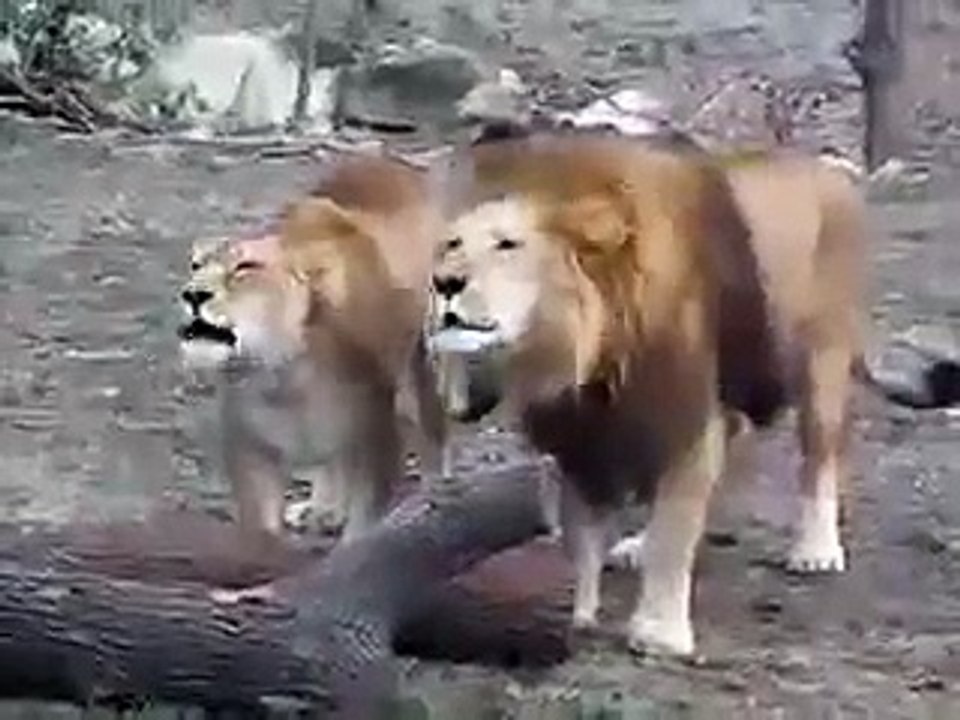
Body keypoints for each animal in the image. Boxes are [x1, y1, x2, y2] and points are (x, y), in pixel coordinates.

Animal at [177, 154, 449, 543]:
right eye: (195, 266)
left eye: (245, 267)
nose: (193, 294)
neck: (281, 375)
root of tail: (379, 159)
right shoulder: (250, 450)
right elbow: (261, 528)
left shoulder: (376, 440)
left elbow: (361, 529)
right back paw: (322, 509)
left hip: (424, 358)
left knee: (432, 427)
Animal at [426, 132, 878, 657]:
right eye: (452, 244)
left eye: (507, 244)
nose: (444, 283)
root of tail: (831, 171)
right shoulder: (579, 436)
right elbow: (582, 532)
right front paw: (579, 615)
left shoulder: (684, 415)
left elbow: (674, 529)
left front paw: (658, 634)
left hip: (822, 357)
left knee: (820, 455)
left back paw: (816, 551)